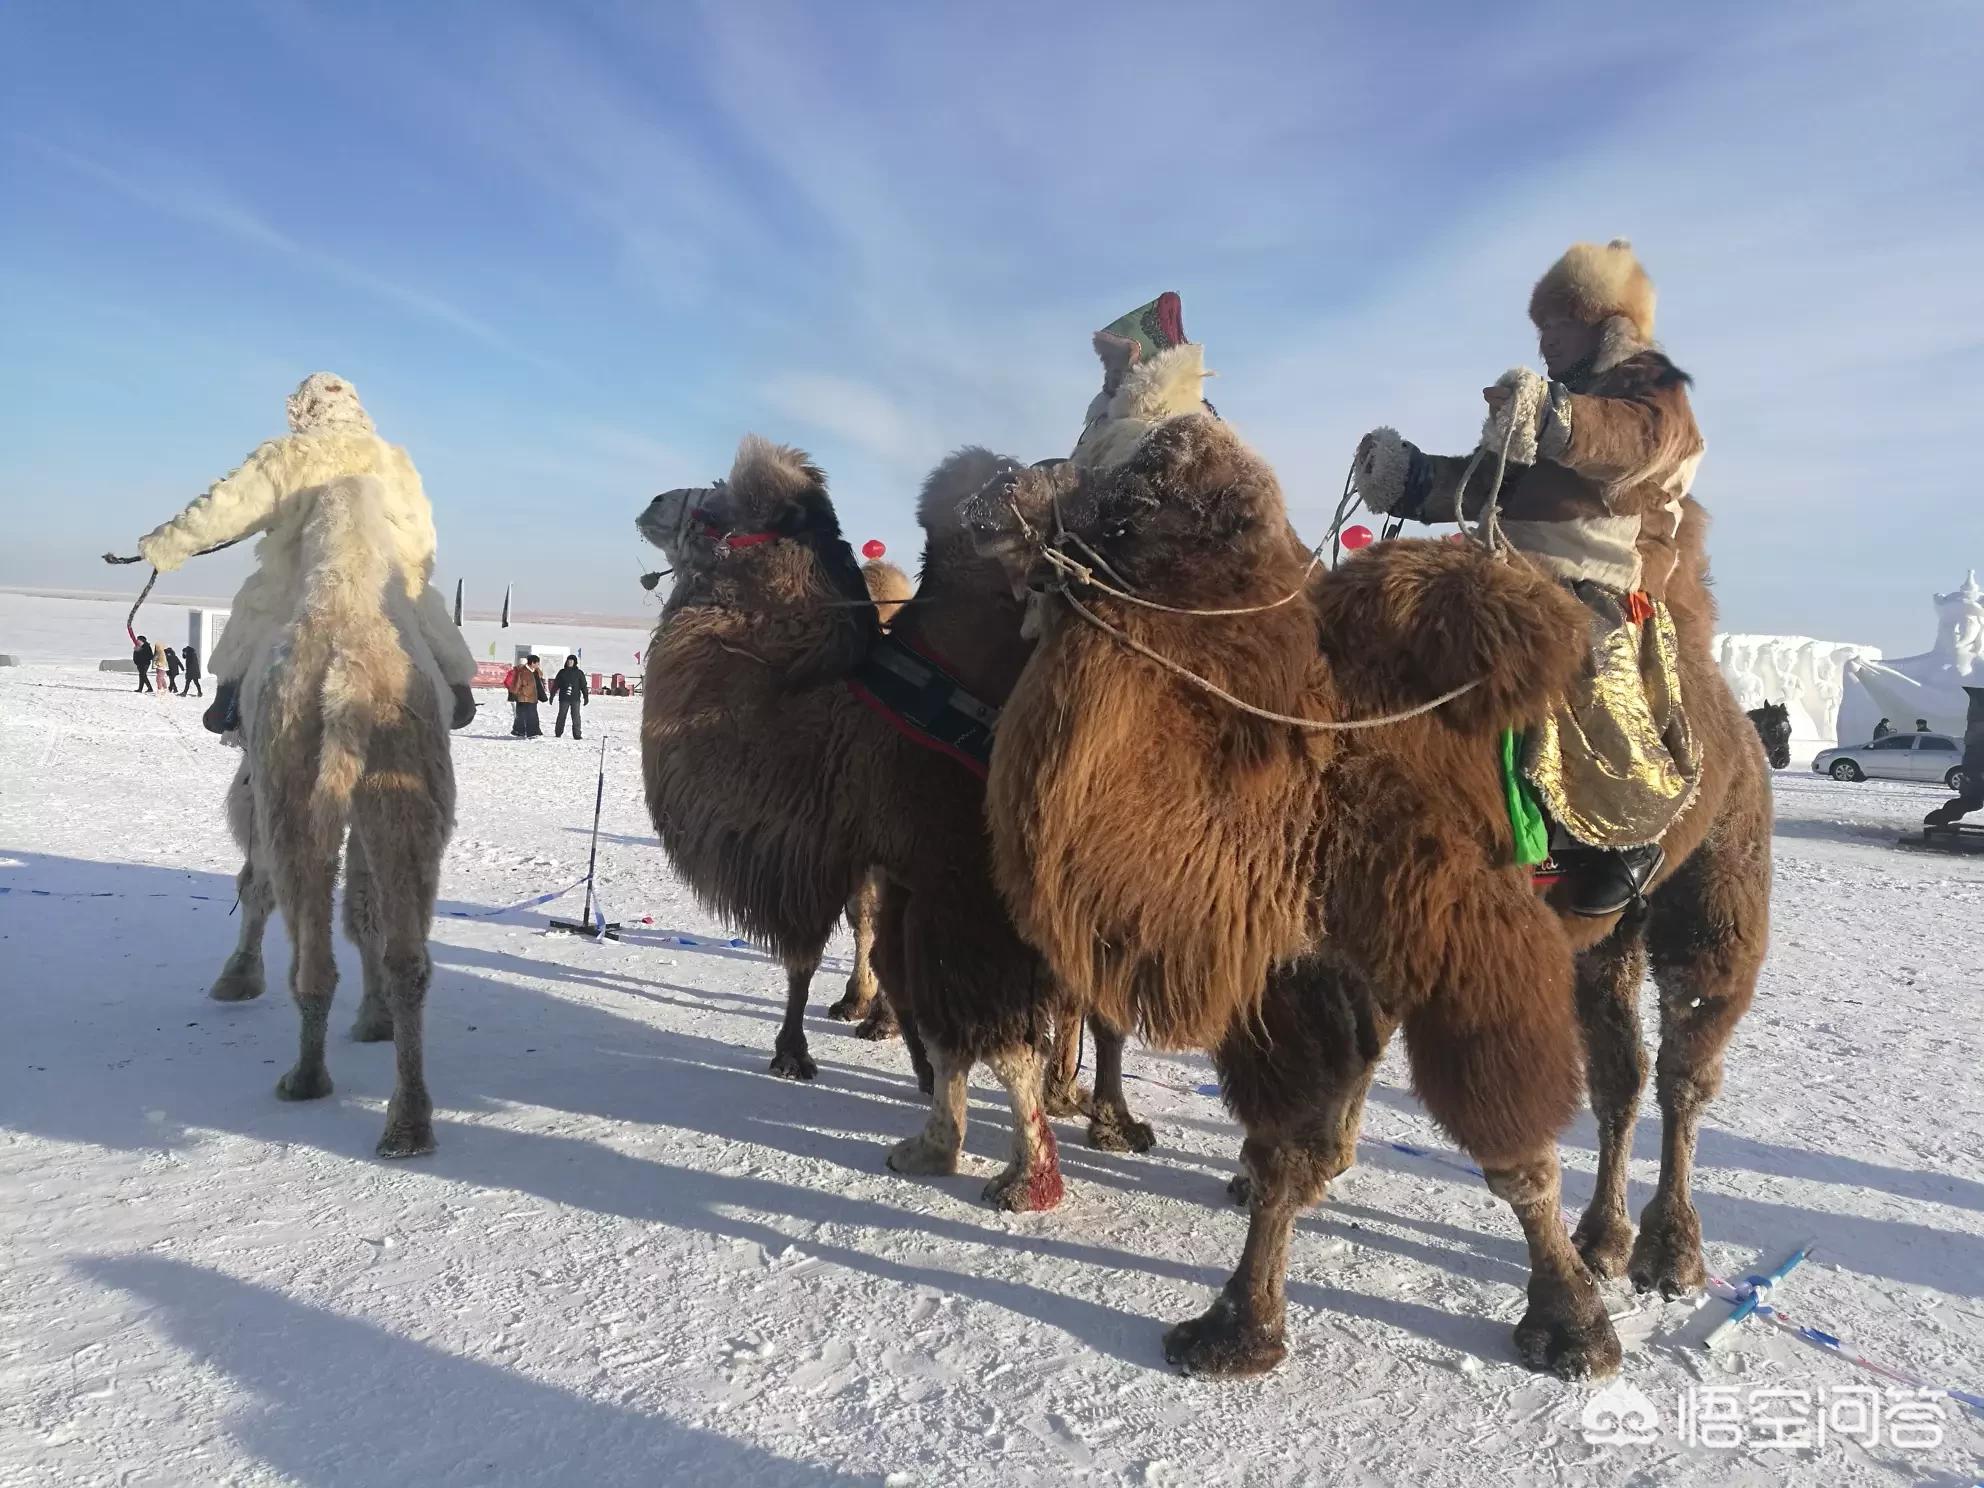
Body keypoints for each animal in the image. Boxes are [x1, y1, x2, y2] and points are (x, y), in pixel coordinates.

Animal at [209, 472, 456, 1158]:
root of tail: (349, 681)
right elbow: (367, 914)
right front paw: (373, 1020)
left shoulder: (261, 787)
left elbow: (254, 884)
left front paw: (237, 977)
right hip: (402, 799)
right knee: (407, 958)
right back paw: (407, 1123)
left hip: (290, 795)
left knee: (303, 935)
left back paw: (305, 1078)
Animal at [634, 434, 1150, 1198]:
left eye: (722, 506)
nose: (655, 502)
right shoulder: (909, 874)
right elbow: (934, 1018)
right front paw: (935, 1138)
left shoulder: (963, 882)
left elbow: (990, 1033)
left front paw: (1028, 1178)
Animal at [976, 410, 1769, 1388]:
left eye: (1136, 490)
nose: (1001, 489)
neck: (1313, 756)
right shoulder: (1307, 971)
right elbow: (1287, 1148)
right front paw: (1237, 1326)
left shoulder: (1473, 948)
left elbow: (1513, 1152)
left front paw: (1572, 1326)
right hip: (1603, 931)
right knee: (1619, 1076)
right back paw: (1604, 1238)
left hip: (1719, 877)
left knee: (1687, 1063)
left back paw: (1667, 1252)